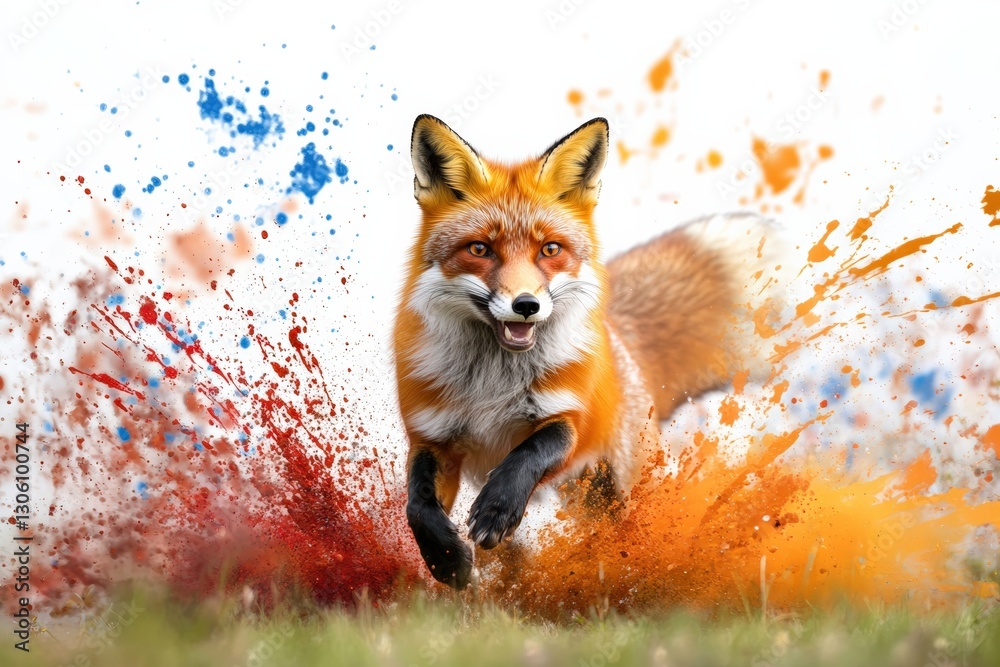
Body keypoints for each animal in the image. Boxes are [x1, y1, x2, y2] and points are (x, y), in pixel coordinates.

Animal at [394, 114, 777, 589]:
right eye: (480, 249)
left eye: (550, 250)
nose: (526, 305)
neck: (491, 383)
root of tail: (619, 337)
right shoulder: (432, 436)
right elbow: (417, 506)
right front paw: (446, 560)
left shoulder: (570, 419)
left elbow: (529, 452)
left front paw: (497, 509)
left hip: (625, 490)